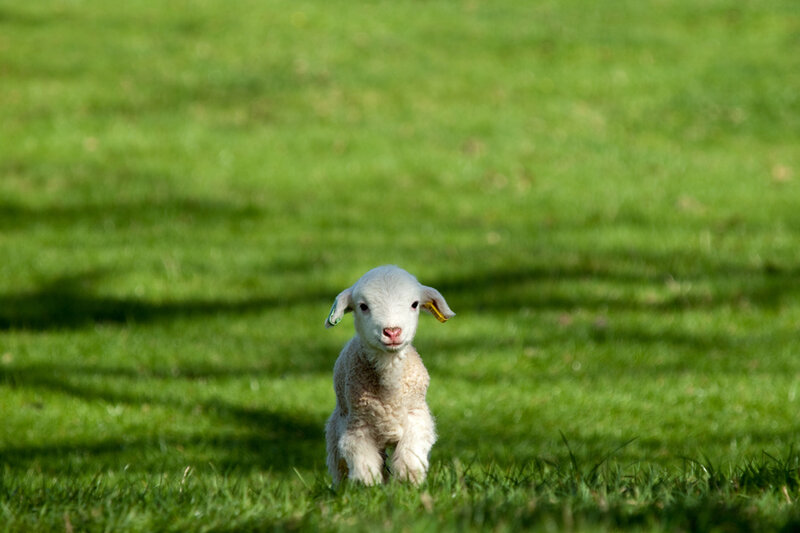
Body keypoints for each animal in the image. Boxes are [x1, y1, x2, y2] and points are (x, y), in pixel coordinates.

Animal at [324, 265, 455, 486]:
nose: (392, 331)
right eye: (363, 306)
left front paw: (408, 484)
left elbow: (410, 457)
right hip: (336, 427)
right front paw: (369, 488)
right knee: (339, 467)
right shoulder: (357, 427)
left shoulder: (417, 418)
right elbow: (364, 465)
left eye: (414, 304)